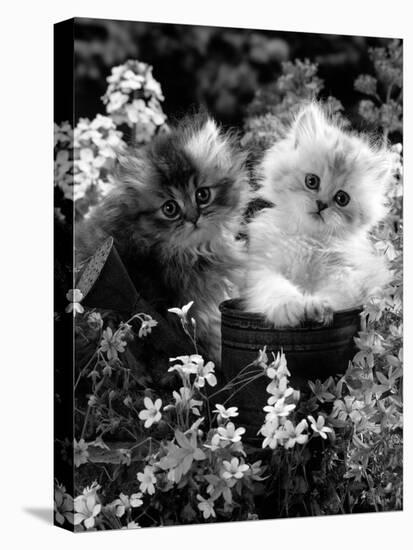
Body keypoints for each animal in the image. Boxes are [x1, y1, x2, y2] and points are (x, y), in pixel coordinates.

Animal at [243, 104, 394, 328]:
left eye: (342, 198)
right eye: (312, 181)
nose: (321, 204)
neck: (308, 239)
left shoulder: (348, 275)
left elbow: (335, 295)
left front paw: (317, 306)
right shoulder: (262, 269)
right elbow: (276, 287)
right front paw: (291, 307)